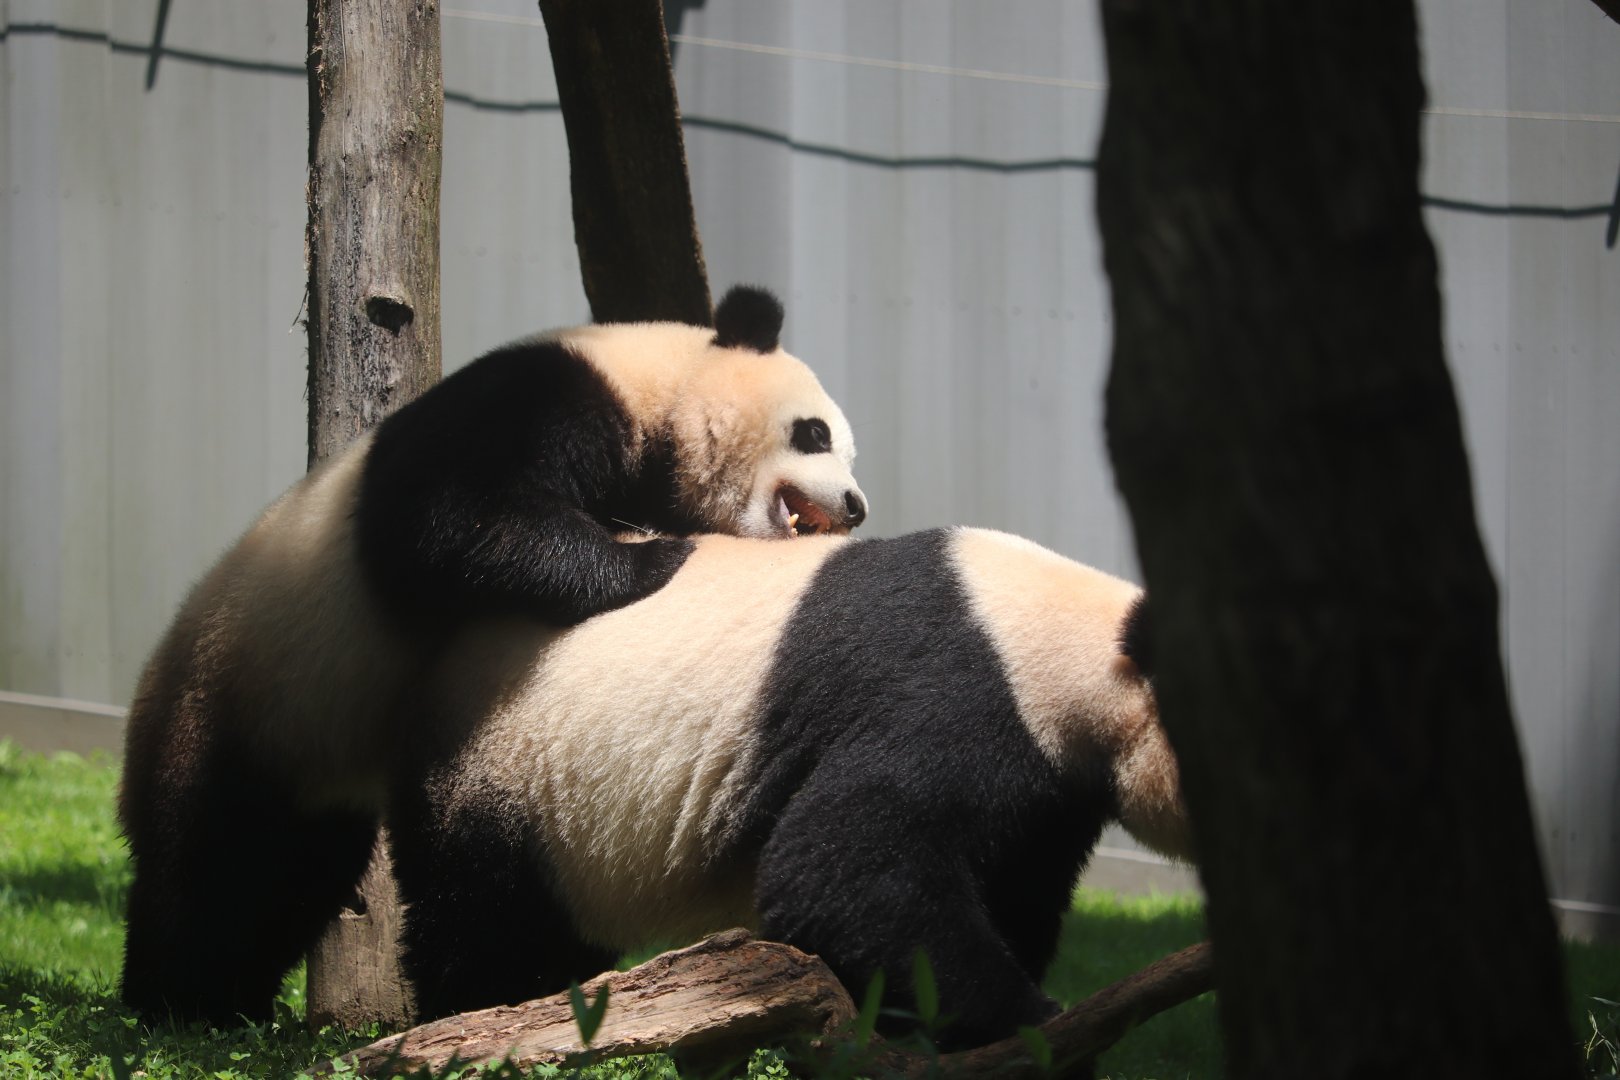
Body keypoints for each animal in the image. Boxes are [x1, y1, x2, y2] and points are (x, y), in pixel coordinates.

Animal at [117, 286, 867, 1026]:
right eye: (815, 433)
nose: (856, 505)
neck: (660, 385)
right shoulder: (547, 398)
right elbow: (453, 519)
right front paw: (654, 559)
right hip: (241, 695)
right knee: (221, 860)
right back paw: (178, 1000)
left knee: (294, 875)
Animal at [388, 526, 1190, 1051]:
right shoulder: (956, 692)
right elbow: (845, 861)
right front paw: (1027, 1019)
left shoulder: (1053, 788)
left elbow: (1014, 886)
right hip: (503, 763)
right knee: (484, 918)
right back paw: (478, 1018)